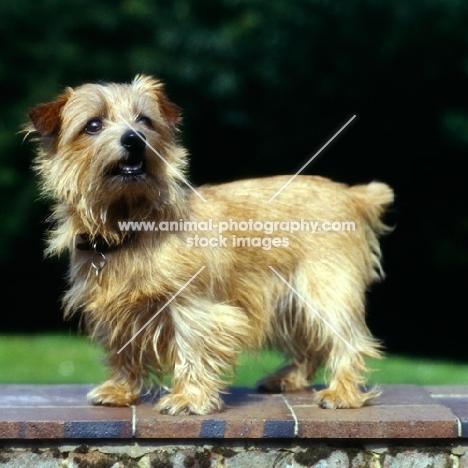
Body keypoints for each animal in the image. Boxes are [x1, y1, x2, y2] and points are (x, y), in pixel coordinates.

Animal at [26, 75, 394, 414]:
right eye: (93, 125)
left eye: (145, 121)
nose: (134, 138)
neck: (129, 222)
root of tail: (351, 194)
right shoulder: (114, 306)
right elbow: (123, 347)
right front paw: (120, 389)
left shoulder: (192, 305)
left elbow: (192, 347)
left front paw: (188, 398)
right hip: (289, 300)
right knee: (310, 344)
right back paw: (288, 378)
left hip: (322, 290)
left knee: (346, 339)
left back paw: (342, 392)